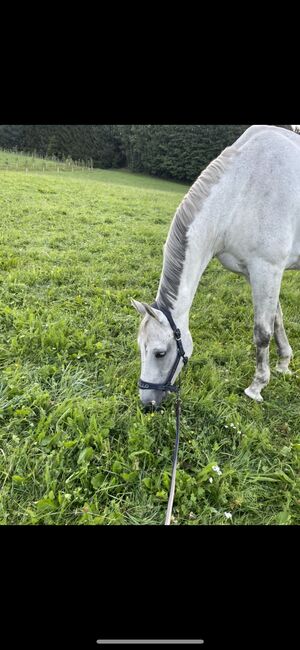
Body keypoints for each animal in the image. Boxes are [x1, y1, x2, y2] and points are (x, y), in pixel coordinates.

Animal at [132, 126, 300, 404]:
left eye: (159, 352)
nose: (147, 403)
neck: (242, 190)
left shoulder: (268, 269)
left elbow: (262, 331)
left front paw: (257, 386)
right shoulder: (257, 273)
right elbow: (277, 319)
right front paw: (284, 364)